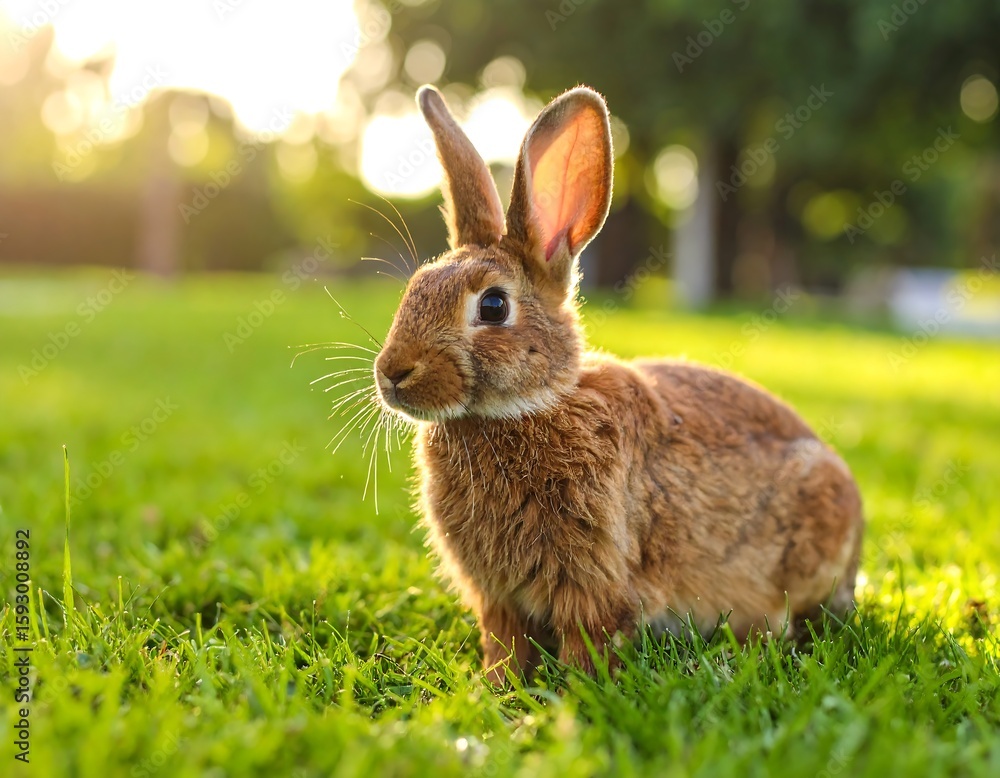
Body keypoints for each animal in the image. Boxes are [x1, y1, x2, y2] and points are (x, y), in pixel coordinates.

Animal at [373, 83, 864, 681]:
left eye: (492, 306)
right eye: (415, 287)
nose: (392, 372)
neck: (531, 405)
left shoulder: (593, 579)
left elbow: (589, 641)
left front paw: (571, 690)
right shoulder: (498, 597)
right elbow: (504, 643)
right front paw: (496, 688)